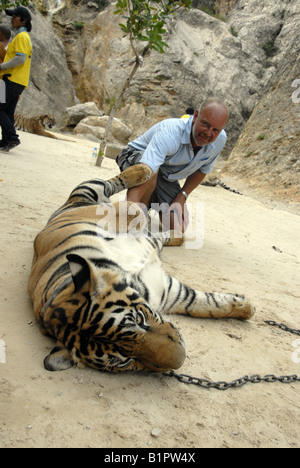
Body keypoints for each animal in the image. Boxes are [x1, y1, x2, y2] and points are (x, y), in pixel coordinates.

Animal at [28, 165, 254, 372]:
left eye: (139, 319)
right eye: (124, 360)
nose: (181, 359)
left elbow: (133, 209)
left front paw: (246, 307)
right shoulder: (166, 290)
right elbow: (198, 303)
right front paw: (245, 307)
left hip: (88, 189)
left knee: (110, 184)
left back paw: (142, 171)